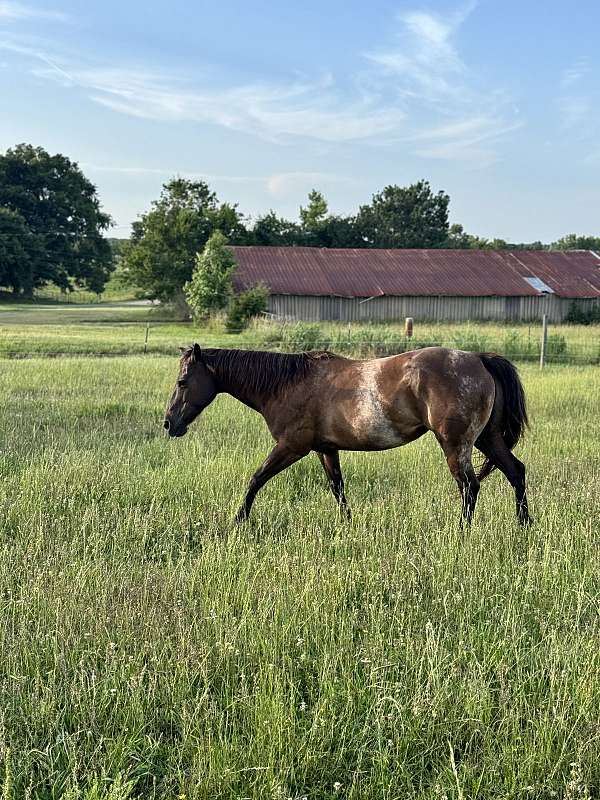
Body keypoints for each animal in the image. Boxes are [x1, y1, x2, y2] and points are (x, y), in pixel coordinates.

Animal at [163, 342, 528, 524]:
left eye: (182, 381)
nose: (169, 423)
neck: (288, 384)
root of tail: (479, 359)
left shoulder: (291, 446)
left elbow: (256, 479)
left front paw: (238, 521)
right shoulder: (326, 449)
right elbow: (337, 488)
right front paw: (347, 525)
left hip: (456, 444)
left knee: (470, 486)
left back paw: (462, 532)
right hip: (487, 439)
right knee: (515, 472)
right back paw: (523, 527)